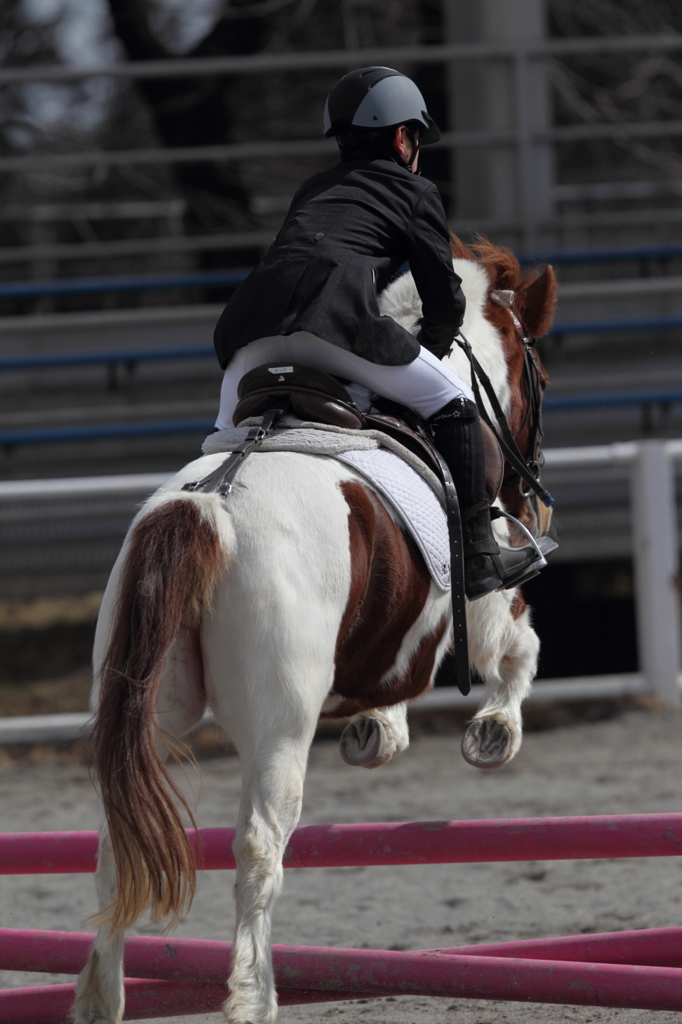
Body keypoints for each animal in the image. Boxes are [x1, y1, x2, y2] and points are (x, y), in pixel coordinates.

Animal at [71, 235, 557, 1024]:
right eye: (536, 369)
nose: (535, 500)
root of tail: (206, 509)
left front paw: (376, 730)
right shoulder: (483, 612)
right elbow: (521, 652)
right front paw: (492, 734)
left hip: (146, 705)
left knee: (118, 843)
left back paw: (99, 997)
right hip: (280, 727)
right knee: (259, 848)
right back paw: (252, 993)